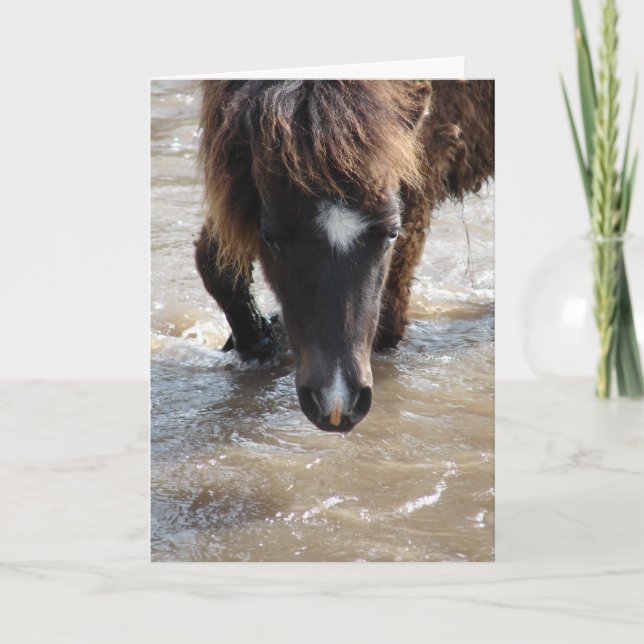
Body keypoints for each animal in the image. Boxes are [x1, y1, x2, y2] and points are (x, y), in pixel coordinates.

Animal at [194, 80, 494, 432]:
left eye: (393, 232)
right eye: (271, 236)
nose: (336, 404)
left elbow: (388, 321)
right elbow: (216, 266)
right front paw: (259, 344)